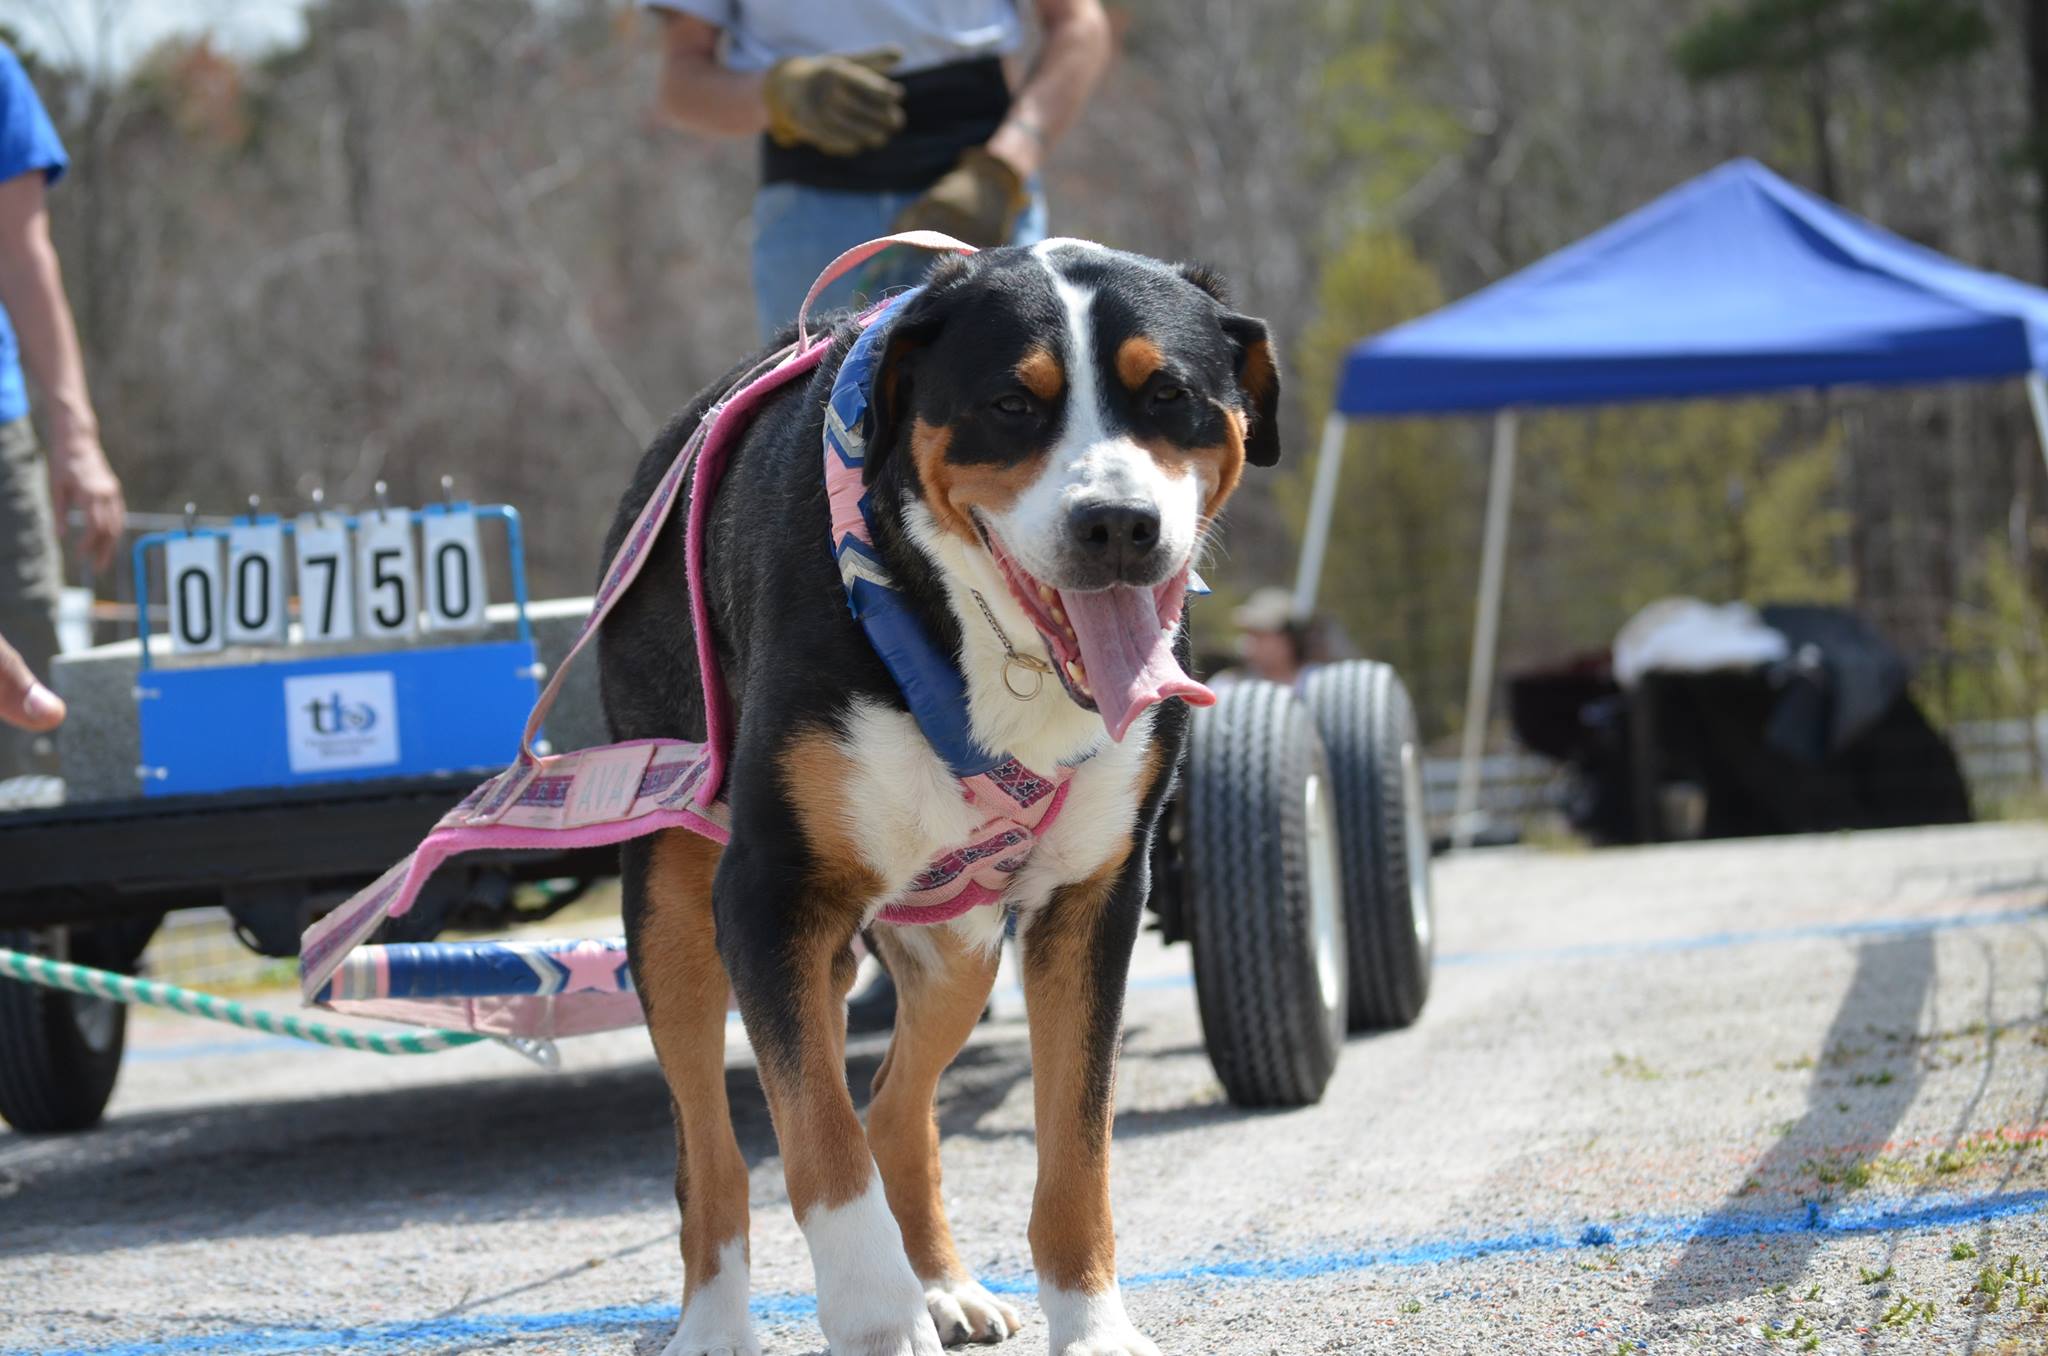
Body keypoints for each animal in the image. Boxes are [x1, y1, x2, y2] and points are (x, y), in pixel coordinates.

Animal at [598, 244, 1277, 1356]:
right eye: (1011, 403)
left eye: (1168, 395)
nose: (1117, 524)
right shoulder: (767, 897)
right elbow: (820, 1146)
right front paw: (879, 1320)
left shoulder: (1091, 903)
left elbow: (1074, 1147)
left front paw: (1090, 1325)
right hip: (670, 902)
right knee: (714, 1154)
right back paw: (713, 1324)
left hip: (959, 943)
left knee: (889, 1105)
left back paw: (944, 1284)